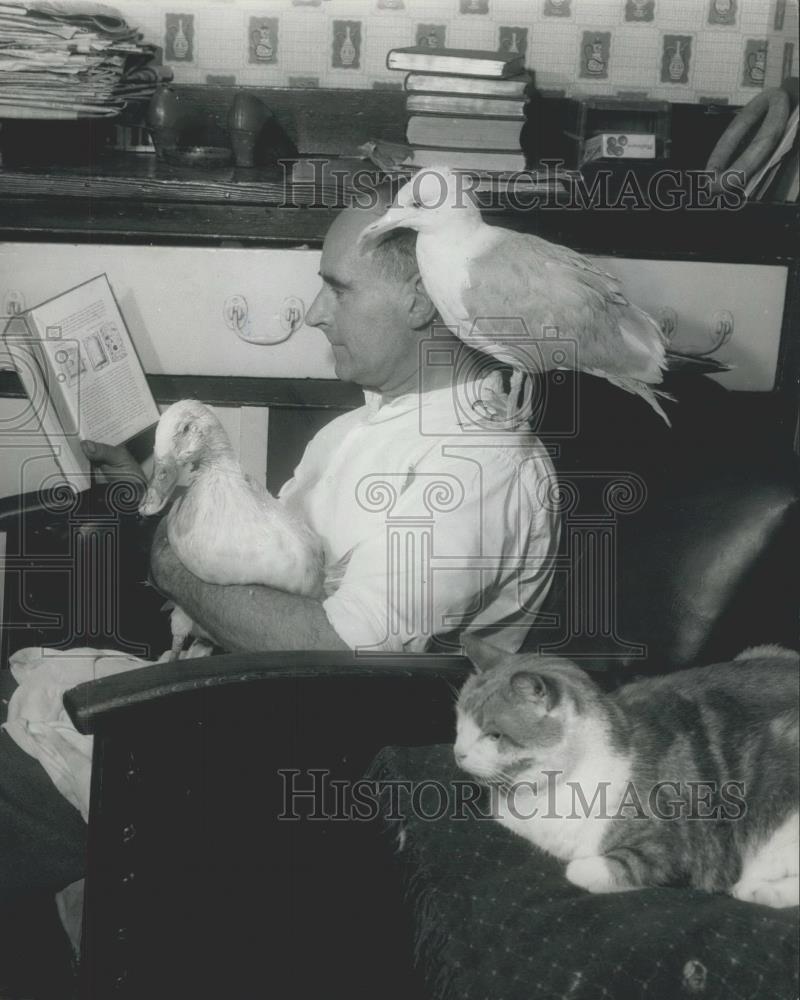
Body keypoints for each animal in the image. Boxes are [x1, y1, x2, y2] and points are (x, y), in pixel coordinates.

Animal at [456, 640, 800, 908]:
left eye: (494, 736)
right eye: (459, 725)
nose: (457, 753)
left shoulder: (675, 848)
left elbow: (590, 868)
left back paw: (757, 890)